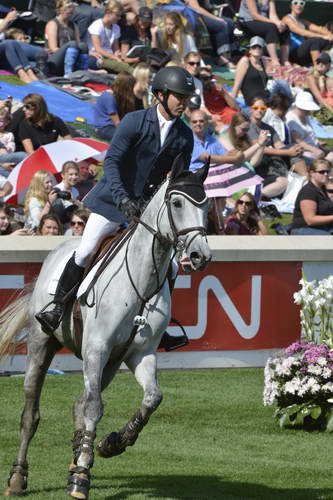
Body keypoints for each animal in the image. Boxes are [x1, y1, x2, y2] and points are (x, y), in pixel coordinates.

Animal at [0, 154, 210, 498]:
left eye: (205, 205)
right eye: (177, 203)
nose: (199, 255)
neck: (141, 279)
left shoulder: (139, 353)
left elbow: (151, 399)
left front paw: (112, 443)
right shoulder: (96, 348)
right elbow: (94, 408)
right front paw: (81, 478)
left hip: (110, 363)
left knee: (80, 401)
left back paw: (77, 455)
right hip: (43, 344)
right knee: (32, 411)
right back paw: (18, 477)